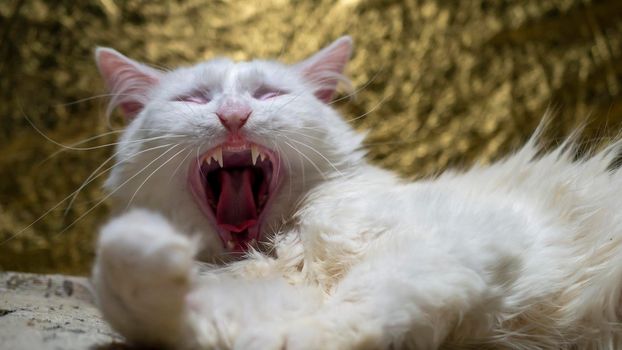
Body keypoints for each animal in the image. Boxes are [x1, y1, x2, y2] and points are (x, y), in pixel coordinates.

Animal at [90, 37, 622, 348]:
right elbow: (135, 298)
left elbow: (355, 311)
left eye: (268, 94)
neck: (280, 250)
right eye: (194, 100)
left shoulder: (455, 242)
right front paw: (153, 254)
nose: (234, 115)